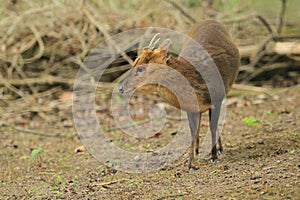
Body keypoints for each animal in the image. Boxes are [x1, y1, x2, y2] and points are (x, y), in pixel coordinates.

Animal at [118, 19, 240, 169]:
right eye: (134, 62)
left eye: (140, 68)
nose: (121, 88)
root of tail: (210, 20)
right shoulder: (190, 107)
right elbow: (193, 131)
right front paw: (191, 163)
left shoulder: (216, 100)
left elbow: (211, 126)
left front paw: (213, 156)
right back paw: (199, 150)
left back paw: (219, 149)